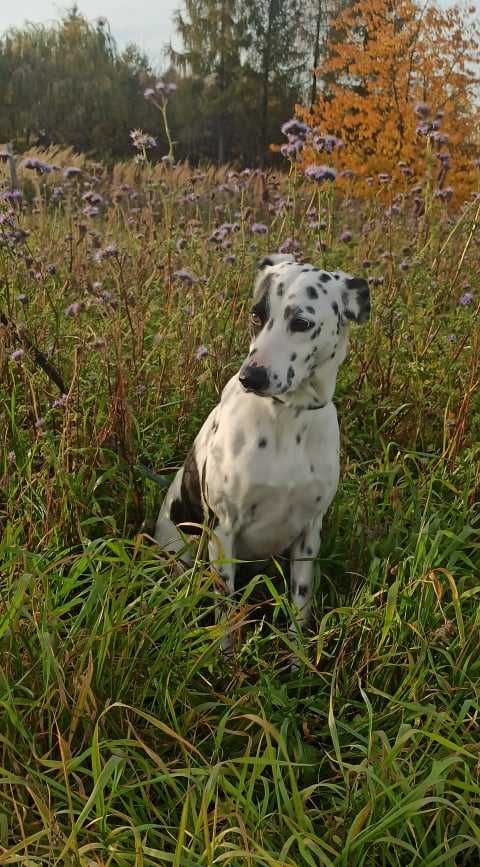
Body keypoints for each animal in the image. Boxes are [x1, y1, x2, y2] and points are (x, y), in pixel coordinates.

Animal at [156, 254, 370, 656]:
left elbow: (300, 608)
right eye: (257, 315)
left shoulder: (308, 534)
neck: (287, 417)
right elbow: (225, 610)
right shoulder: (223, 529)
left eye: (301, 323)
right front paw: (225, 660)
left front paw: (298, 660)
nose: (250, 378)